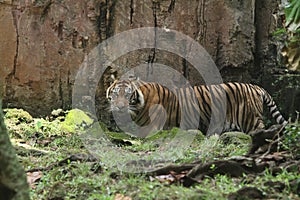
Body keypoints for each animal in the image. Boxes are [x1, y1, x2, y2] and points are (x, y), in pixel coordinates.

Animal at [106, 78, 288, 136]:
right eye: (115, 94)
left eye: (128, 95)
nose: (120, 107)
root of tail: (256, 87)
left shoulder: (153, 127)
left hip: (250, 119)